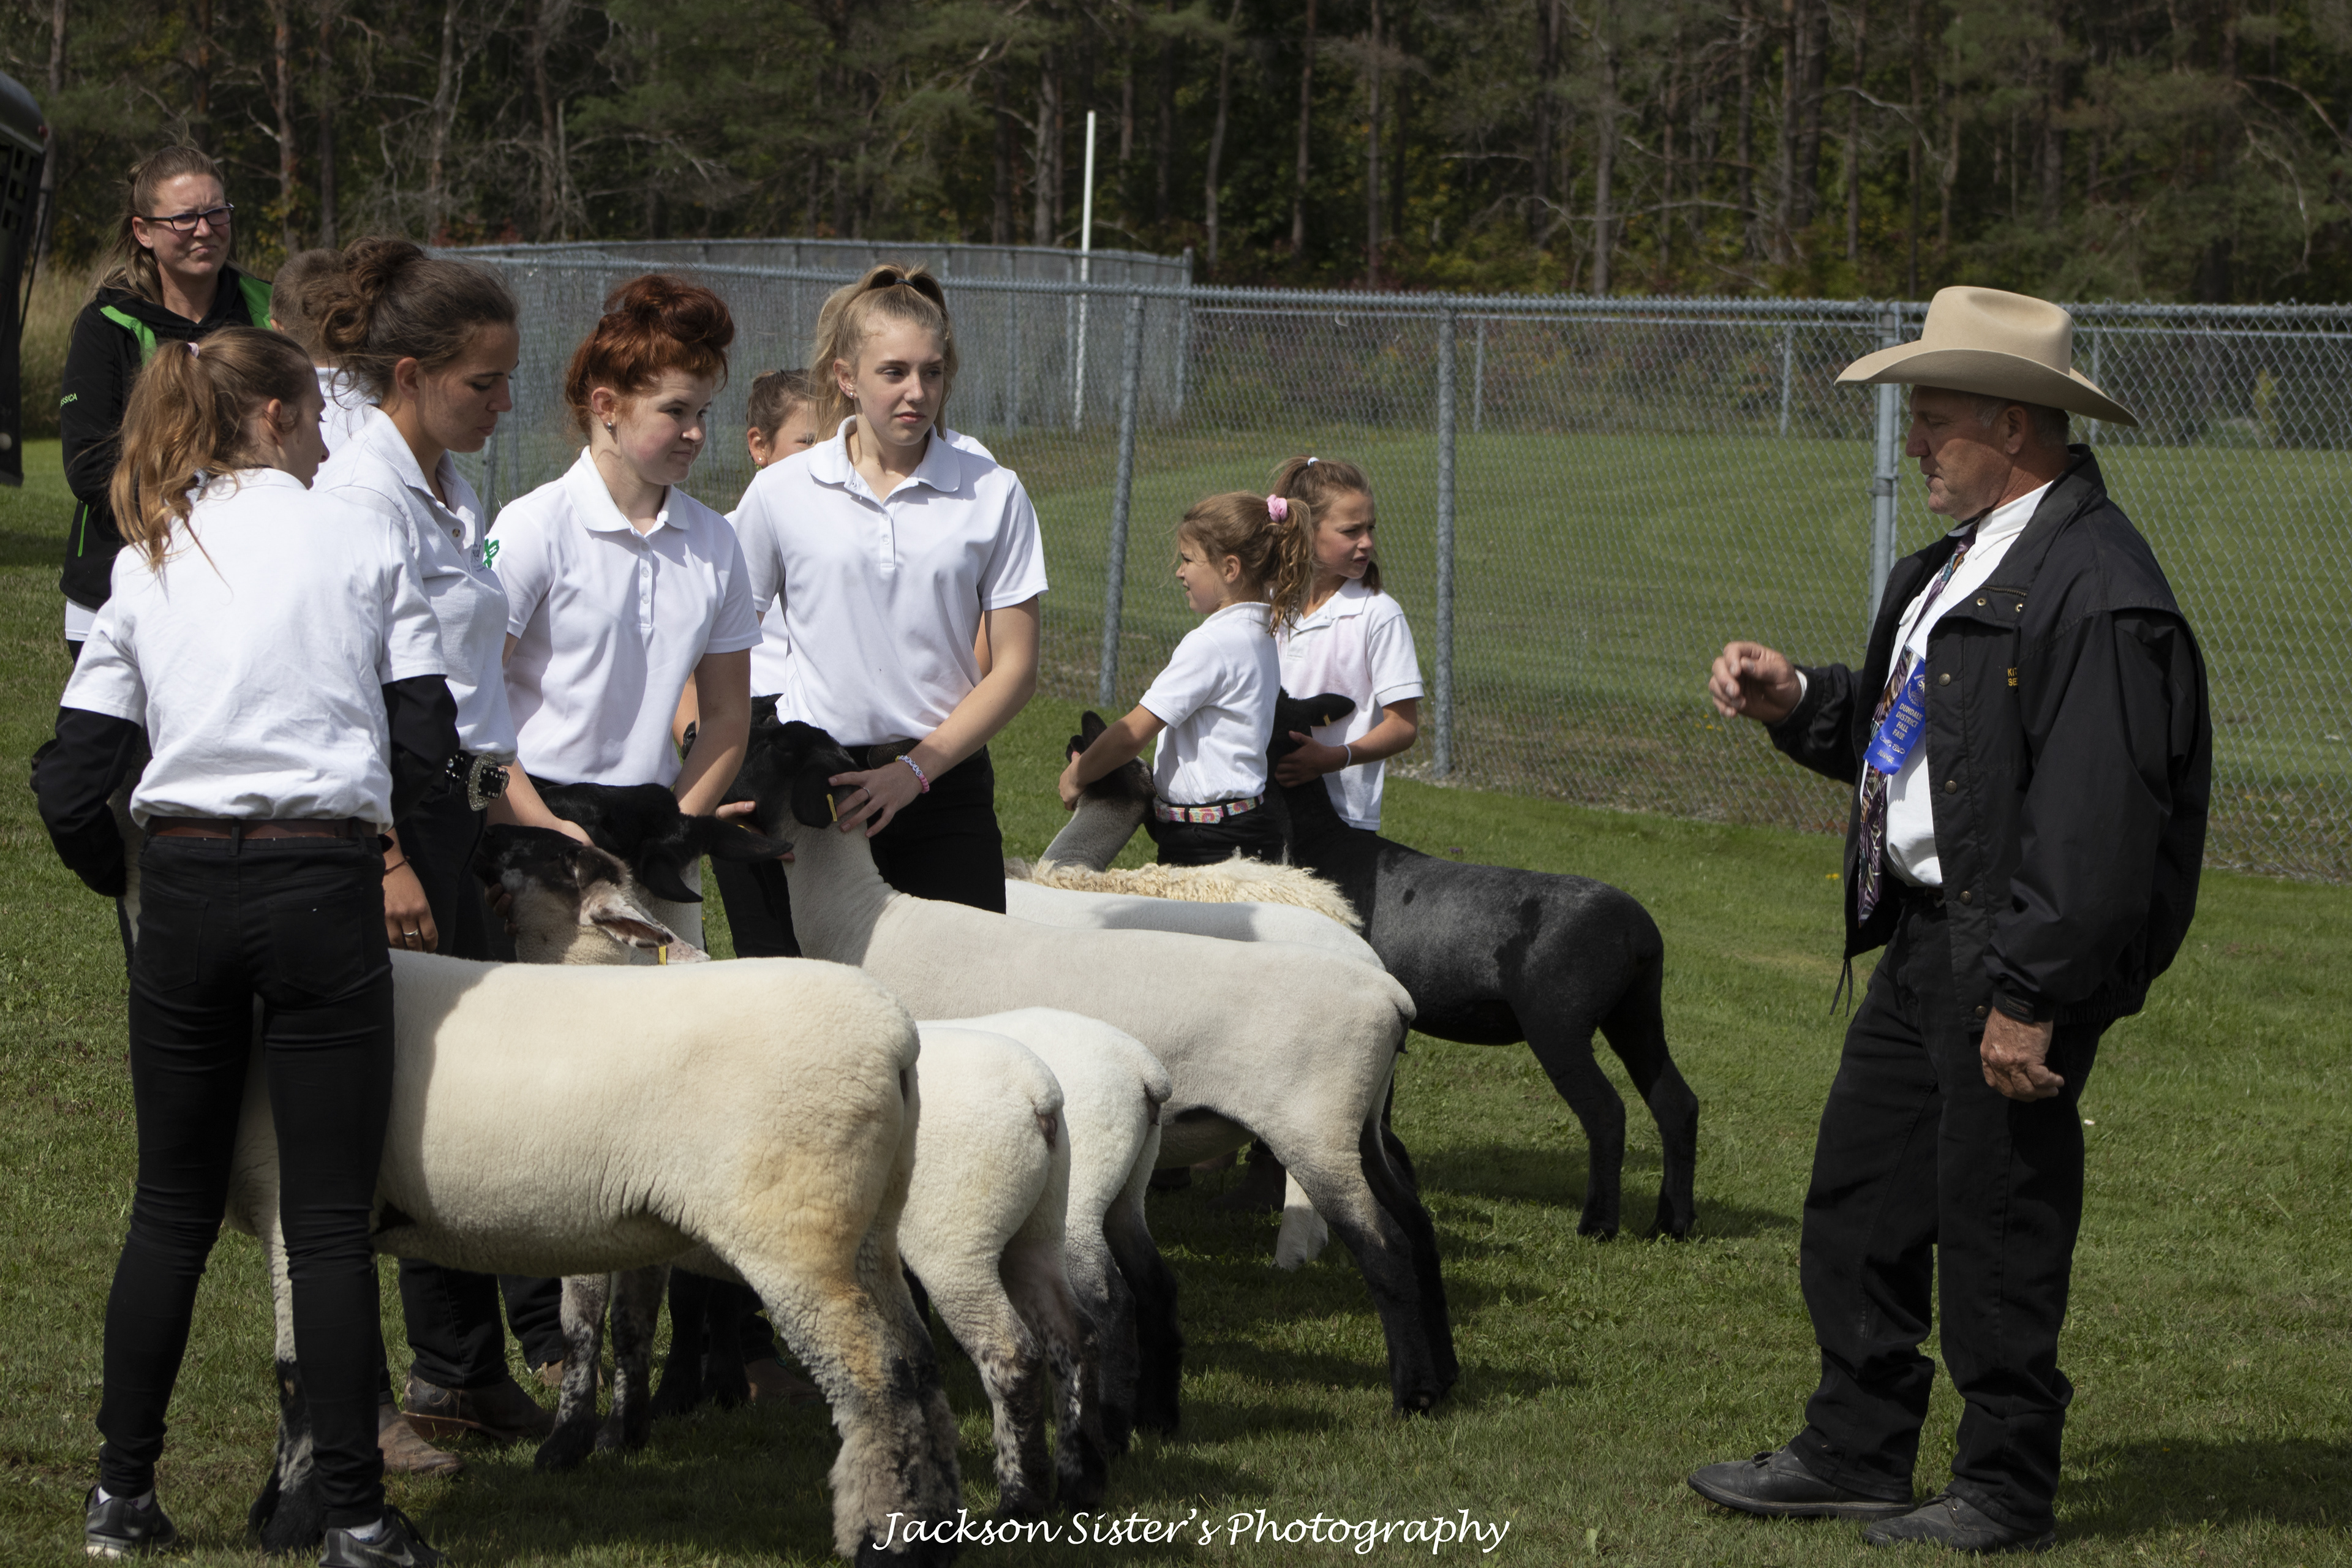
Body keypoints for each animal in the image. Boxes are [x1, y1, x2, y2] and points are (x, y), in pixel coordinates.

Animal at [222, 949, 963, 1564]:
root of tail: (897, 1039)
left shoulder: (296, 1209)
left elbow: (299, 1372)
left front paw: (289, 1526)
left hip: (798, 1230)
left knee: (881, 1381)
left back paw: (883, 1545)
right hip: (867, 1227)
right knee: (923, 1365)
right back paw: (935, 1531)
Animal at [733, 717, 1458, 1417]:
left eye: (770, 745)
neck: (862, 918)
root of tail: (1387, 994)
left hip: (1314, 1126)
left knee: (1387, 1251)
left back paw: (1413, 1396)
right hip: (1358, 1121)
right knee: (1418, 1227)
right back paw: (1447, 1377)